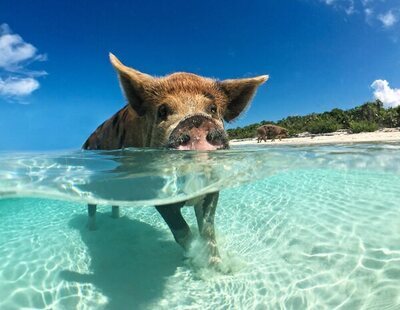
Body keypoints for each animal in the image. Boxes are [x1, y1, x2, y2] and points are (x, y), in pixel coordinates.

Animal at [82, 54, 268, 268]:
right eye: (162, 111)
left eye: (213, 109)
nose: (196, 121)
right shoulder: (156, 190)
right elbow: (181, 230)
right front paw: (195, 262)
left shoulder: (212, 187)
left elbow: (208, 230)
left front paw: (220, 268)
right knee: (91, 206)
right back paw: (92, 230)